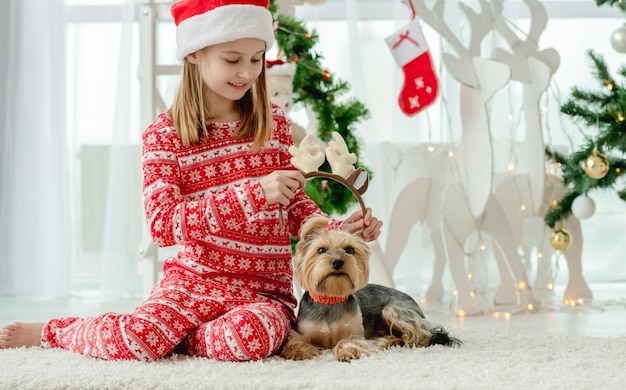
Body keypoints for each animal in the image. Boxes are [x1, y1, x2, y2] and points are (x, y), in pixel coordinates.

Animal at [280, 216, 460, 362]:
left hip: (393, 311)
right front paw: (299, 351)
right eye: (321, 250)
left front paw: (346, 352)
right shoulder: (303, 331)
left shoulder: (357, 334)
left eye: (350, 250)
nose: (337, 262)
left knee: (420, 335)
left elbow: (349, 341)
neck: (331, 298)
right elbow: (296, 340)